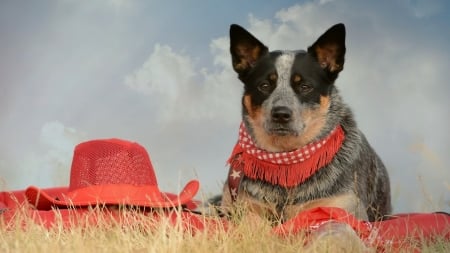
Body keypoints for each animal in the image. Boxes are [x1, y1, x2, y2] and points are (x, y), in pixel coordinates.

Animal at [218, 22, 390, 222]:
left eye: (305, 86)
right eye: (265, 85)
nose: (281, 114)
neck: (286, 163)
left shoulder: (342, 207)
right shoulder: (245, 208)